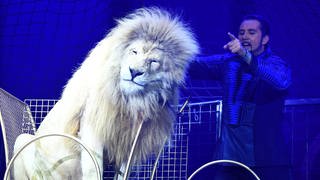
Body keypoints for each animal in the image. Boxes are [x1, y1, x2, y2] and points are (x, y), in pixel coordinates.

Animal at [13, 7, 199, 180]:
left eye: (153, 61)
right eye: (134, 52)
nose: (134, 71)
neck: (131, 101)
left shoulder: (131, 139)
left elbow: (123, 172)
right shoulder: (92, 125)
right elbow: (93, 169)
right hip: (22, 140)